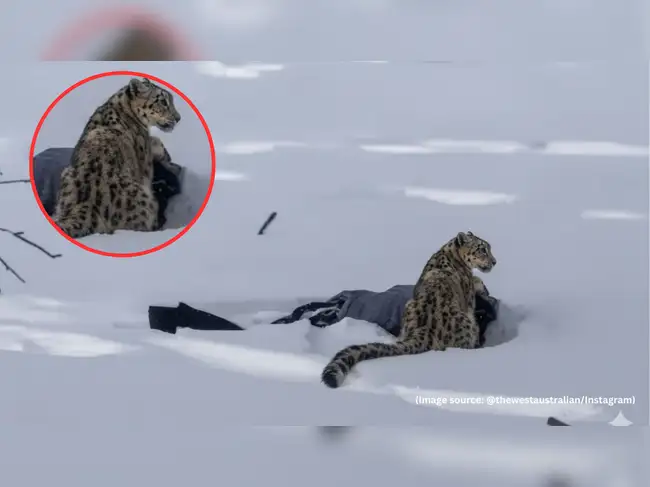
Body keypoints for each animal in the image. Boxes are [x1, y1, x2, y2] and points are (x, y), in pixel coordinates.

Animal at [321, 231, 497, 389]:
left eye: (488, 248)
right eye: (482, 249)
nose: (494, 261)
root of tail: (423, 331)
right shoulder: (469, 301)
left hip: (408, 306)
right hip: (468, 324)